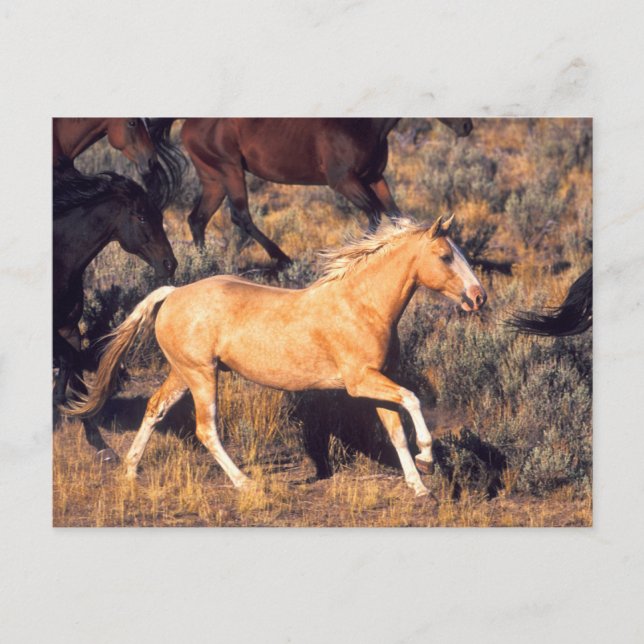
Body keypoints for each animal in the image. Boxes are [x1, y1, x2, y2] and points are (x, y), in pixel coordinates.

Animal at [54, 171, 178, 461]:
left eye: (160, 217)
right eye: (141, 216)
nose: (170, 264)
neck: (58, 260)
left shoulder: (69, 329)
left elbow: (76, 375)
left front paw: (100, 444)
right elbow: (67, 363)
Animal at [65, 214, 486, 496]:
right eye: (445, 256)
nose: (479, 296)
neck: (362, 305)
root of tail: (173, 293)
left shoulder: (377, 381)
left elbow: (396, 431)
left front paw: (419, 485)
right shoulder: (360, 381)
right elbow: (413, 401)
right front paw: (428, 459)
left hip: (182, 373)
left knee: (155, 410)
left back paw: (129, 471)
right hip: (202, 376)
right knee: (206, 429)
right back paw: (244, 483)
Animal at [181, 117, 474, 266]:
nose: (467, 127)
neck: (364, 125)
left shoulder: (375, 178)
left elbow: (396, 215)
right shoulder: (343, 181)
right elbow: (375, 215)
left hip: (214, 178)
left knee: (197, 219)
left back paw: (204, 267)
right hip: (230, 170)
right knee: (240, 216)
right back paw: (284, 260)